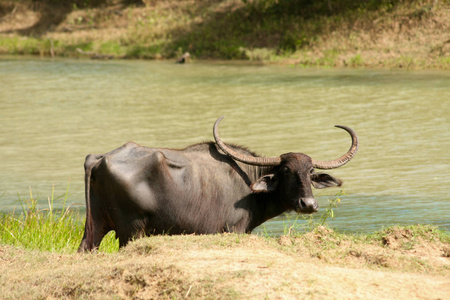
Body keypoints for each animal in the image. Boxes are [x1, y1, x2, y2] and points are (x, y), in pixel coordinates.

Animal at [78, 117, 358, 251]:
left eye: (310, 171)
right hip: (131, 230)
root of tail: (101, 158)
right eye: (287, 171)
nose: (308, 204)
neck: (250, 184)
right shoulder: (234, 230)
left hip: (96, 226)